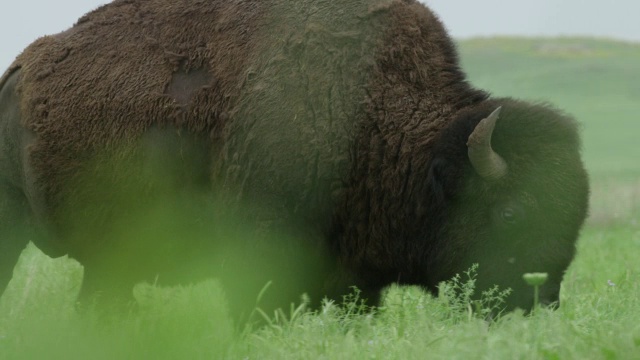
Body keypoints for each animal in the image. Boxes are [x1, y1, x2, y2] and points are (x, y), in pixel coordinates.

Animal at [0, 0, 592, 318]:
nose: (538, 305)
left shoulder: (351, 277)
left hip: (107, 261)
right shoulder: (262, 254)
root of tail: (19, 72)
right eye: (512, 212)